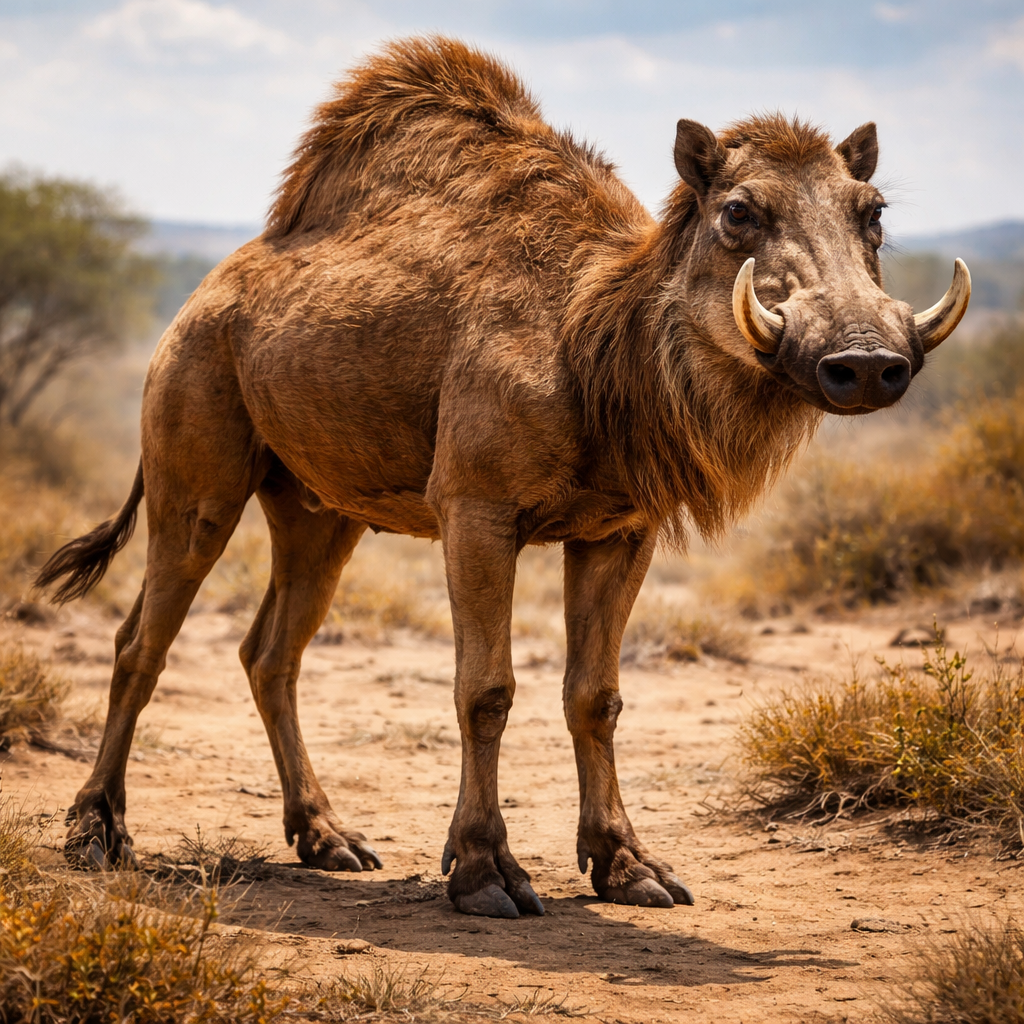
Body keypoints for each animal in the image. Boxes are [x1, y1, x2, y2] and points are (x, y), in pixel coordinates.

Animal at [38, 36, 970, 919]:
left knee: (270, 654)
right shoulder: (478, 512)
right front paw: (485, 871)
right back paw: (97, 830)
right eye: (739, 210)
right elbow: (485, 689)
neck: (591, 349)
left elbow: (595, 695)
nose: (864, 360)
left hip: (319, 514)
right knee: (141, 644)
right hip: (196, 489)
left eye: (872, 213)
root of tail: (196, 308)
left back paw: (327, 835)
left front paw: (628, 865)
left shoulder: (619, 532)